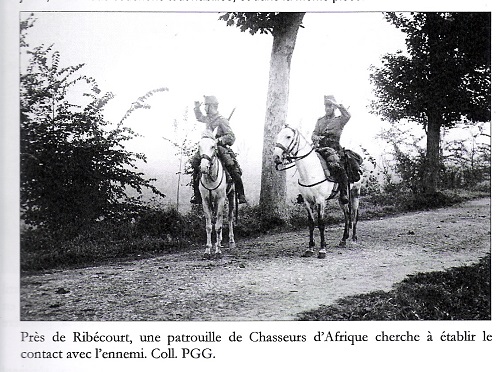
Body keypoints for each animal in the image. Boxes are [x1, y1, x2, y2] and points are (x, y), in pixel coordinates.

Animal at [197, 128, 236, 258]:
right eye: (199, 146)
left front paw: (218, 250)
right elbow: (209, 226)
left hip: (231, 196)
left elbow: (218, 226)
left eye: (213, 146)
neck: (210, 178)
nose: (203, 167)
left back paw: (231, 242)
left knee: (229, 217)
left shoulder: (220, 200)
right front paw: (208, 250)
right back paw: (219, 241)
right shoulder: (205, 201)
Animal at [274, 125, 364, 258]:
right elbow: (311, 223)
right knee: (347, 215)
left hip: (355, 192)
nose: (276, 157)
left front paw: (322, 250)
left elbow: (321, 223)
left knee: (354, 215)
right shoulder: (307, 202)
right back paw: (343, 239)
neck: (310, 171)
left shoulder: (321, 201)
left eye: (288, 136)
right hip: (341, 198)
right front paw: (310, 248)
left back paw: (353, 239)